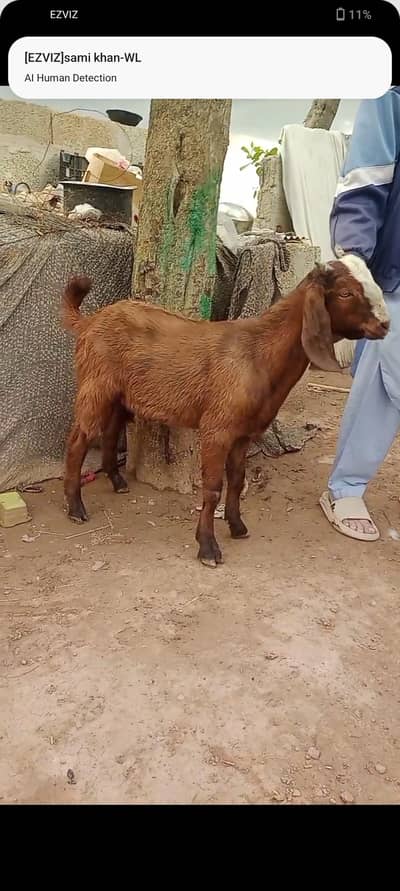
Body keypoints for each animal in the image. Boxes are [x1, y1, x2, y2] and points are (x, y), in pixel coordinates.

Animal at [62, 255, 389, 567]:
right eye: (346, 292)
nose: (385, 325)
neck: (258, 354)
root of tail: (89, 322)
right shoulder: (216, 429)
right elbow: (212, 488)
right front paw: (207, 546)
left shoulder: (244, 434)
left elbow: (238, 480)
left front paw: (237, 526)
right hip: (95, 385)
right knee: (78, 439)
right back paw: (76, 507)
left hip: (118, 393)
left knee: (111, 429)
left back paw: (116, 482)